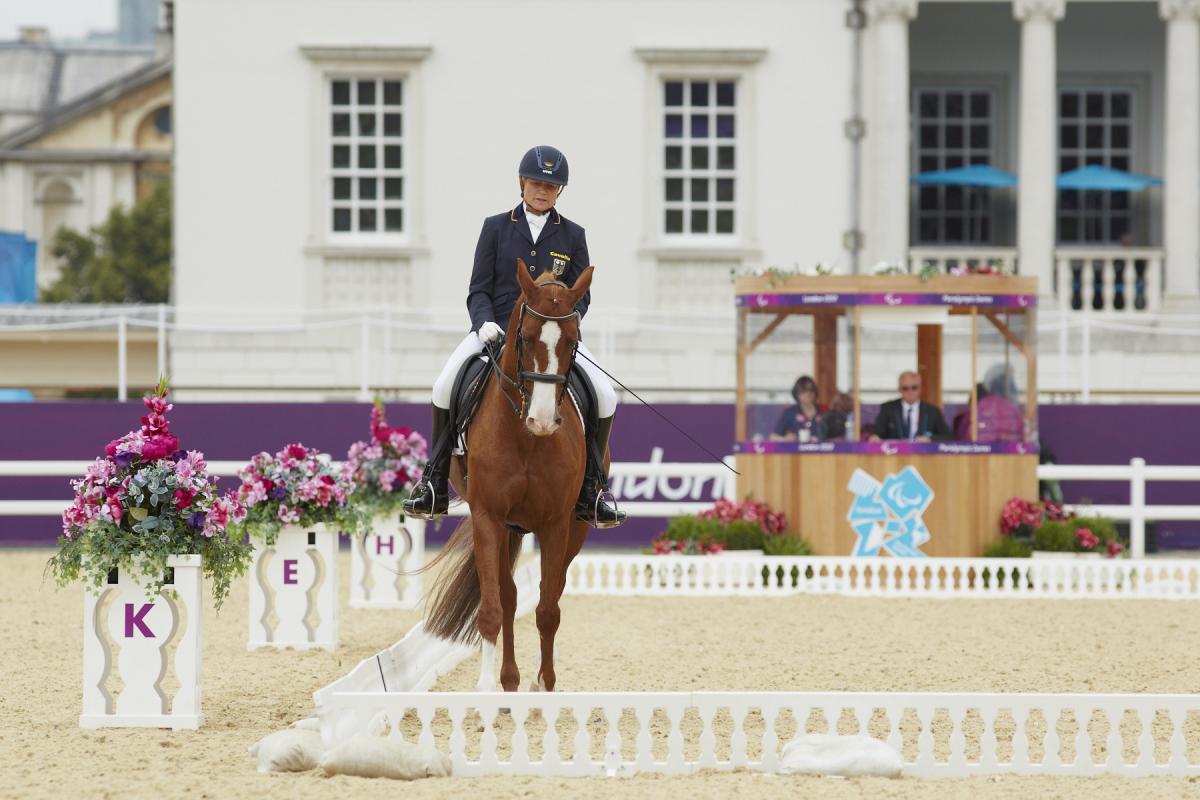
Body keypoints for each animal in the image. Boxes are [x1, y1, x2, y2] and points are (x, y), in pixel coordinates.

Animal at [424, 260, 597, 690]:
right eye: (527, 336)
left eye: (572, 340)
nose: (542, 421)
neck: (526, 440)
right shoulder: (487, 516)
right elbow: (492, 607)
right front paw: (487, 686)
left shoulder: (557, 523)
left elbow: (548, 610)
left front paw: (545, 684)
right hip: (505, 527)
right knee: (508, 595)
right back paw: (508, 680)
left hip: (573, 528)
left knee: (548, 592)